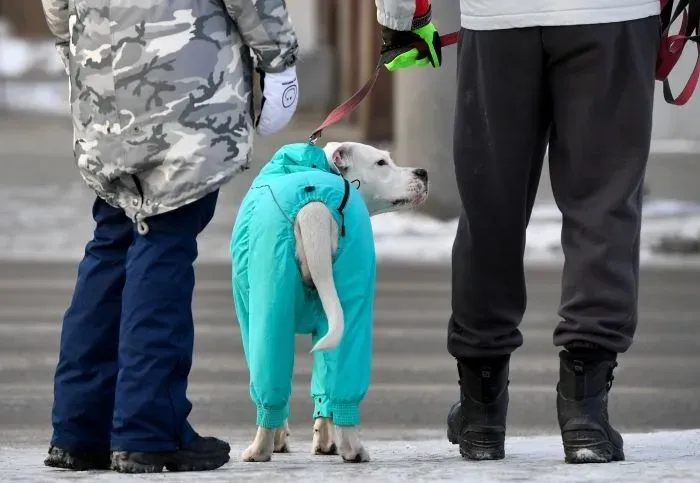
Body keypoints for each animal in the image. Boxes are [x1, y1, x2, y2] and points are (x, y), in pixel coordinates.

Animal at [235, 141, 426, 466]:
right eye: (381, 162)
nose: (423, 172)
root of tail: (315, 206)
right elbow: (324, 382)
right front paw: (324, 443)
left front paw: (281, 440)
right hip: (351, 295)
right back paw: (351, 449)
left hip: (268, 299)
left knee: (270, 380)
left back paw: (258, 450)